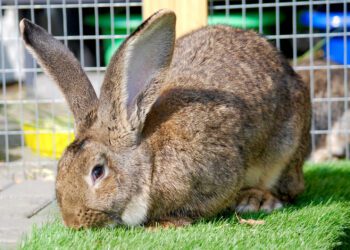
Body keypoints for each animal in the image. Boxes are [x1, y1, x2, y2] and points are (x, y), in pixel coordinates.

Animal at [19, 9, 310, 229]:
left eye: (97, 171)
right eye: (61, 168)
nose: (73, 223)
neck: (151, 161)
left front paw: (164, 224)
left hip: (286, 150)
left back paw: (257, 200)